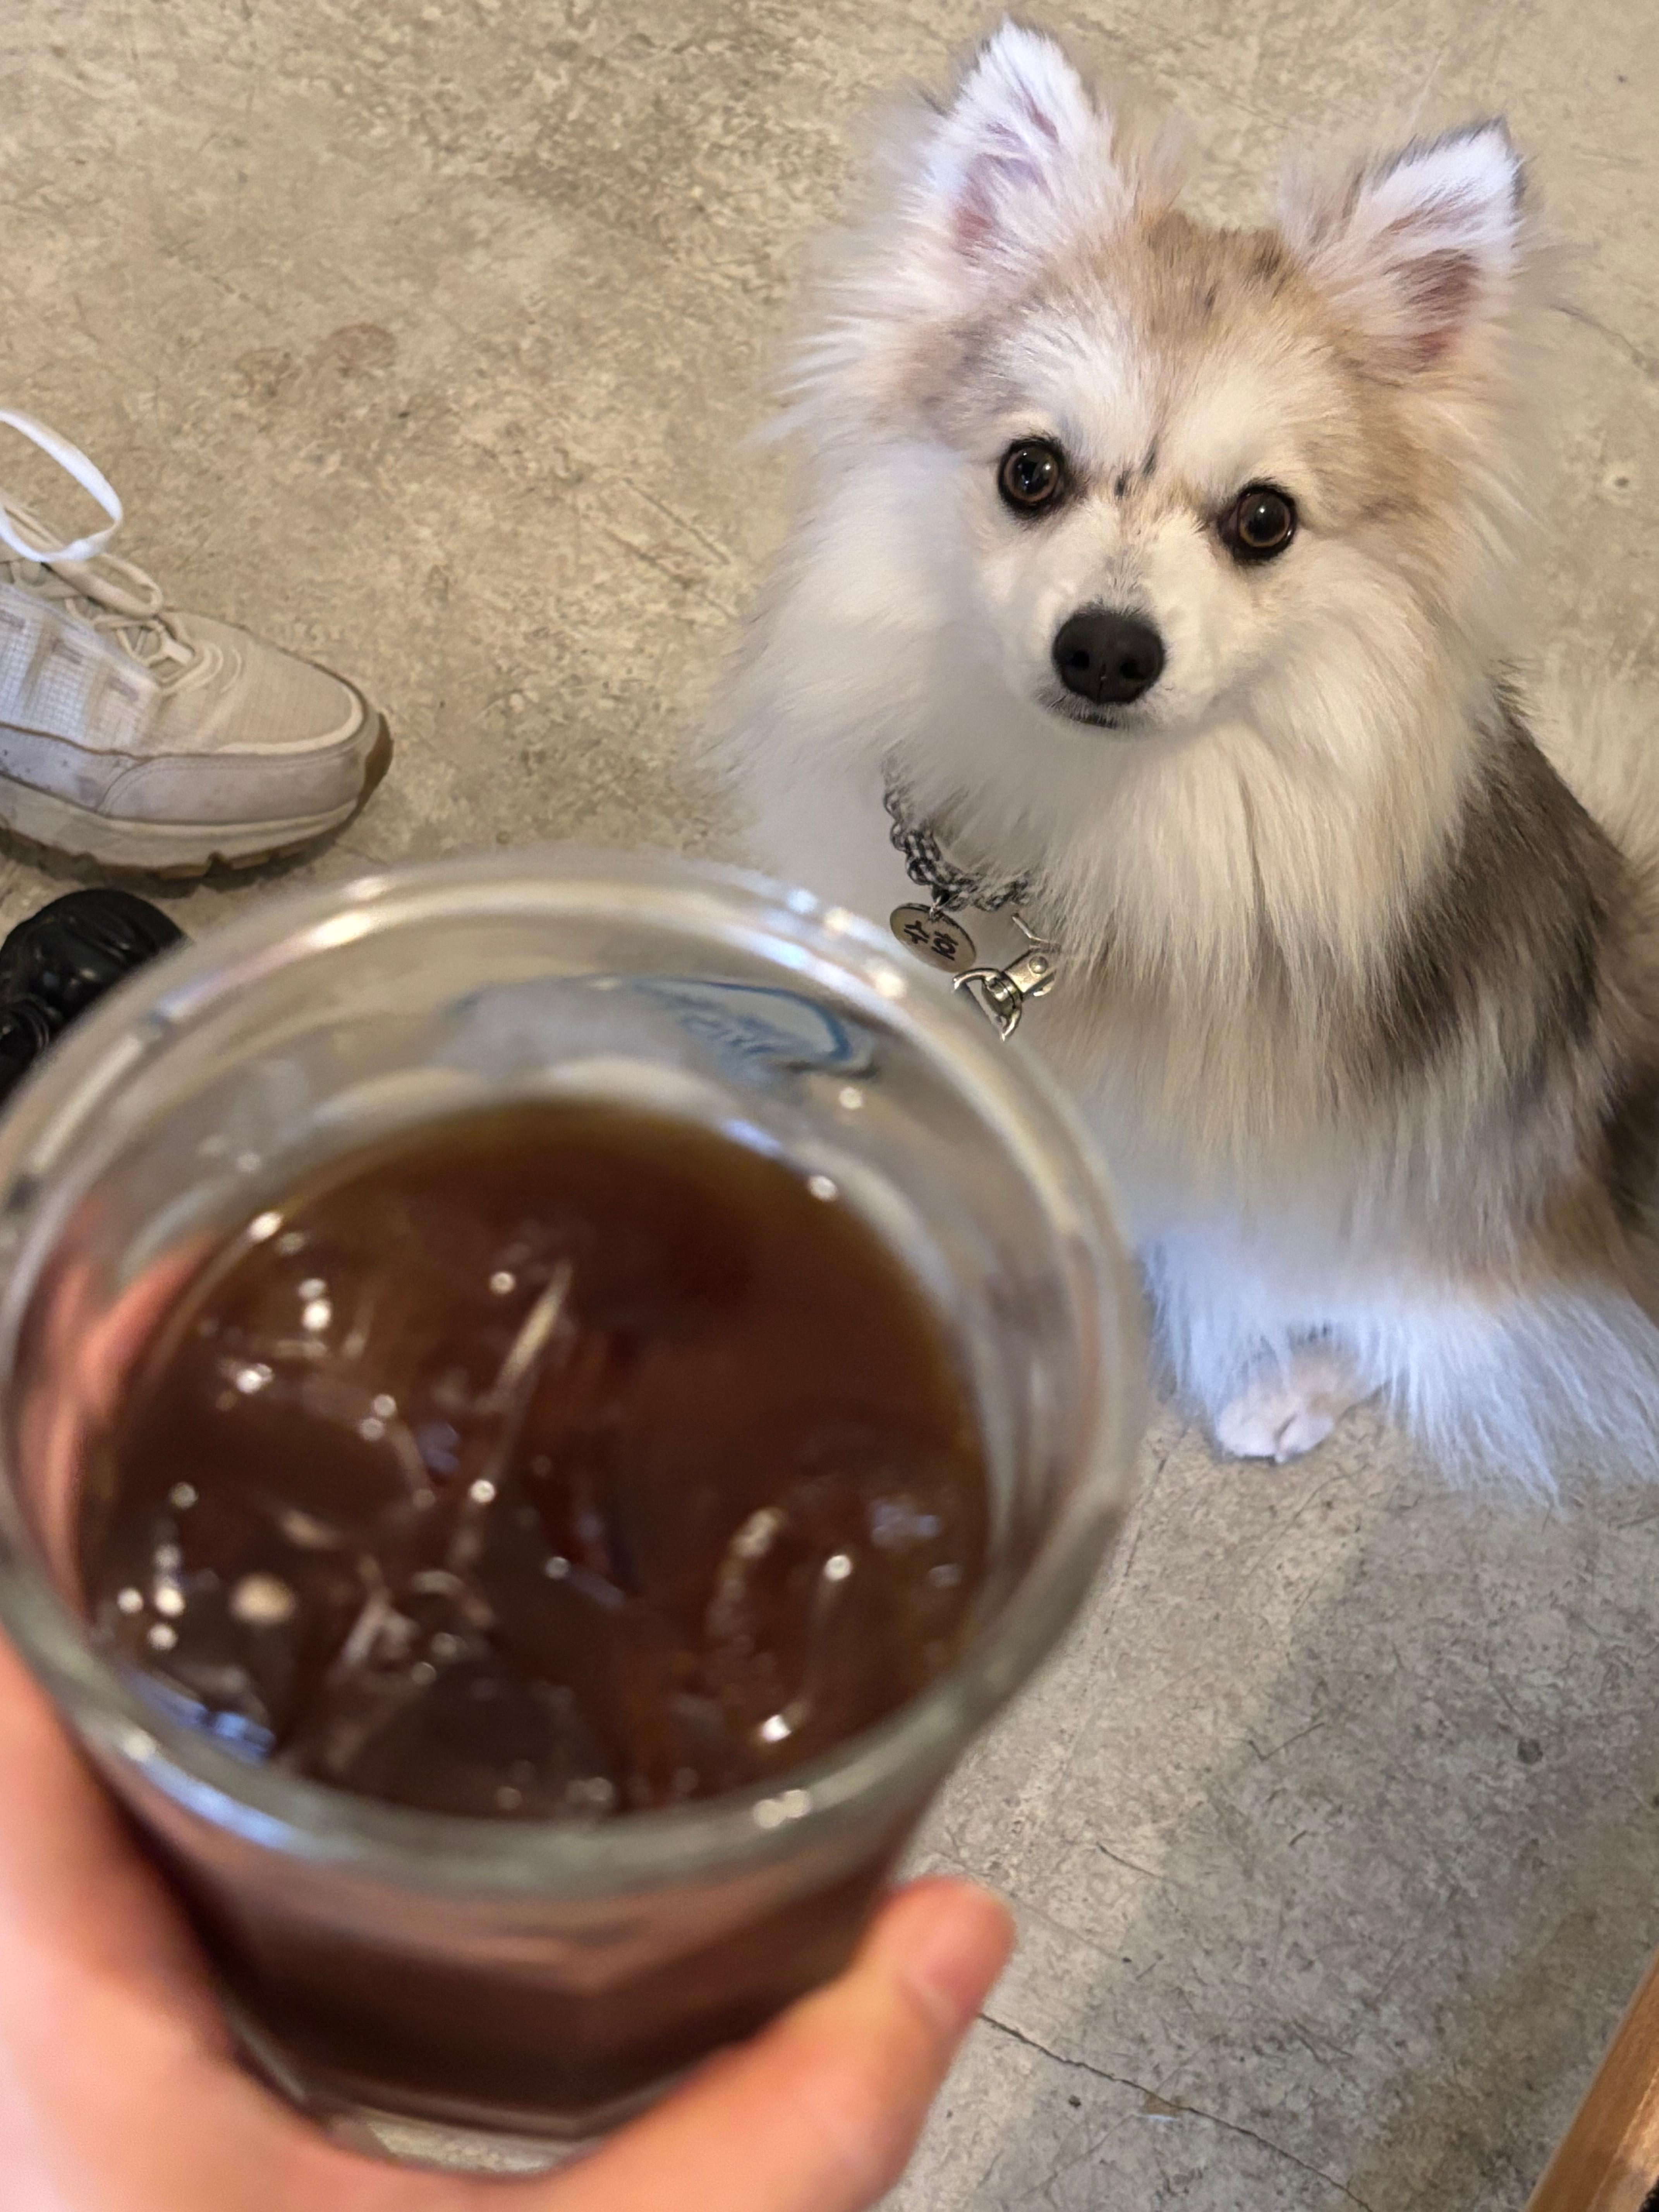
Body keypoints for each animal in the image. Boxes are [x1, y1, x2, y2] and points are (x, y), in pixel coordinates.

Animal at [709, 20, 1659, 1484]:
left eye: (1264, 519)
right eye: (1030, 472)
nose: (1107, 649)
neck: (1066, 830)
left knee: (1433, 1309)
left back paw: (1289, 1386)